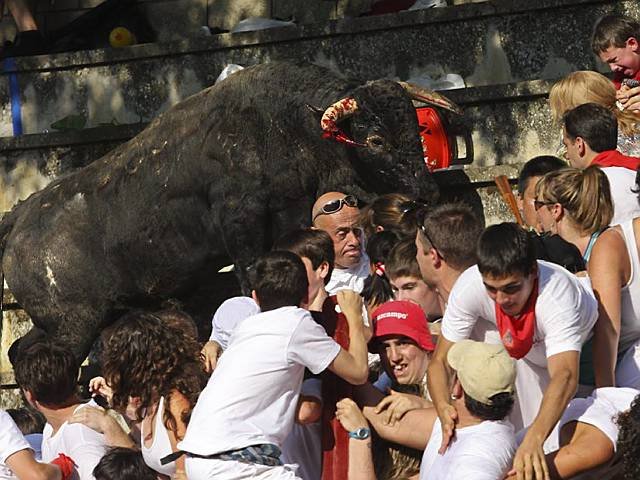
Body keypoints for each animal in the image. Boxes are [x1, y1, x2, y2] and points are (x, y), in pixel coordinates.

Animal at [0, 61, 459, 363]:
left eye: (415, 129)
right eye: (376, 140)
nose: (426, 191)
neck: (288, 126)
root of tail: (21, 216)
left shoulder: (290, 216)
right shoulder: (242, 220)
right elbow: (247, 273)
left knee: (21, 350)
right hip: (72, 326)